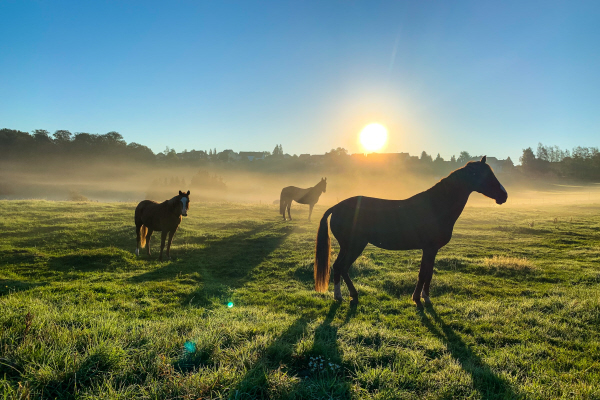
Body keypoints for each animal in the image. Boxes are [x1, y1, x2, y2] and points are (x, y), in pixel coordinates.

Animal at [314, 156, 506, 306]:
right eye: (485, 175)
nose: (504, 196)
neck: (436, 206)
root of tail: (337, 206)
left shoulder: (431, 250)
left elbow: (428, 273)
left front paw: (423, 297)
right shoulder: (429, 249)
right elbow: (423, 274)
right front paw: (420, 298)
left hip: (348, 246)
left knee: (338, 267)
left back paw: (345, 295)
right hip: (355, 246)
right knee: (342, 267)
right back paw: (345, 295)